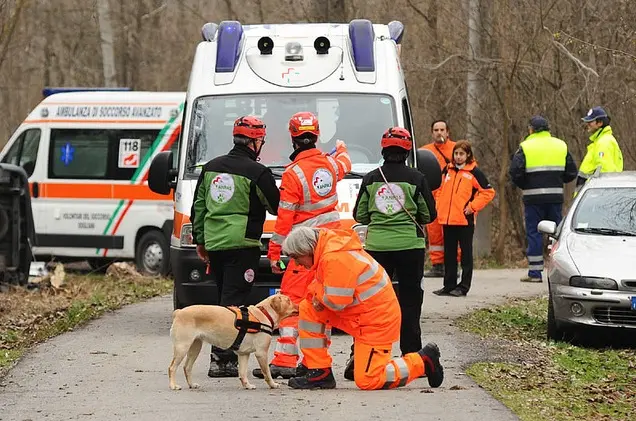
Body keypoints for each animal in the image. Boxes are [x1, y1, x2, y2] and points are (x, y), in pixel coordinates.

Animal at [169, 294, 298, 388]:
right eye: (288, 300)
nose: (298, 305)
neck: (264, 313)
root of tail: (179, 311)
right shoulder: (261, 353)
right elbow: (267, 372)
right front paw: (273, 384)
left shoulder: (243, 354)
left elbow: (243, 373)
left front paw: (247, 385)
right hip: (182, 347)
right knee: (172, 368)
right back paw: (173, 386)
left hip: (195, 348)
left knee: (186, 367)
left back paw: (191, 385)